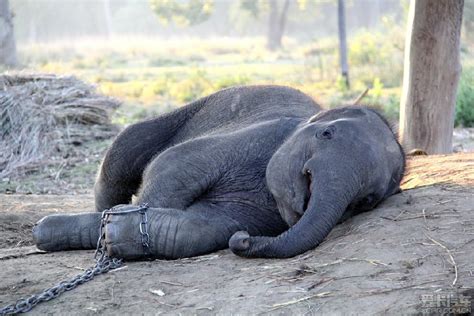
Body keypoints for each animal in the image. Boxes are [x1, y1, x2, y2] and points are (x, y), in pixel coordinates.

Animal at [32, 86, 404, 260]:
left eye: (365, 201)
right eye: (326, 134)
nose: (243, 240)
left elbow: (195, 229)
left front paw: (117, 233)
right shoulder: (258, 137)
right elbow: (176, 166)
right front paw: (121, 223)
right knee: (123, 155)